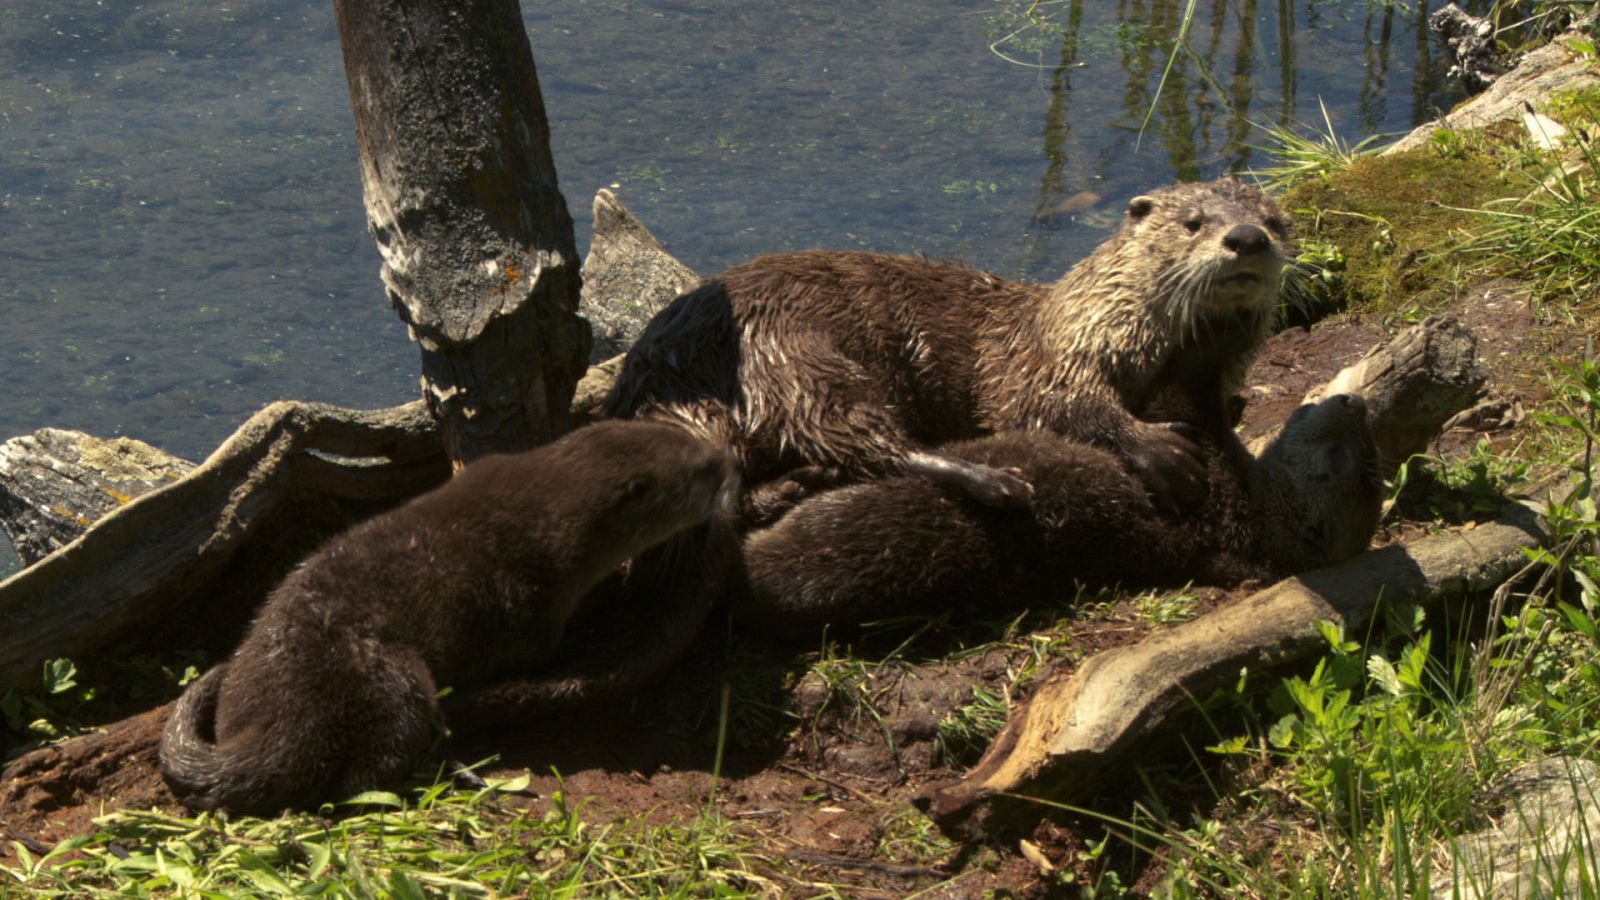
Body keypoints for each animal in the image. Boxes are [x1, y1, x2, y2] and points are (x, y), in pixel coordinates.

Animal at [159, 419, 732, 813]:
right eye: (702, 472)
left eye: (693, 442)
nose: (729, 457)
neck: (552, 518)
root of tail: (275, 726)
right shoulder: (535, 604)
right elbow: (545, 645)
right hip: (392, 677)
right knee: (363, 779)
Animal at [604, 176, 1292, 512]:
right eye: (1193, 223)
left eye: (1278, 221)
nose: (1246, 238)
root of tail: (665, 371)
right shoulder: (1050, 362)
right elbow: (1060, 406)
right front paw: (1158, 451)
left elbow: (1217, 409)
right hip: (799, 357)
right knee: (868, 439)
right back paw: (996, 482)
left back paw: (798, 484)